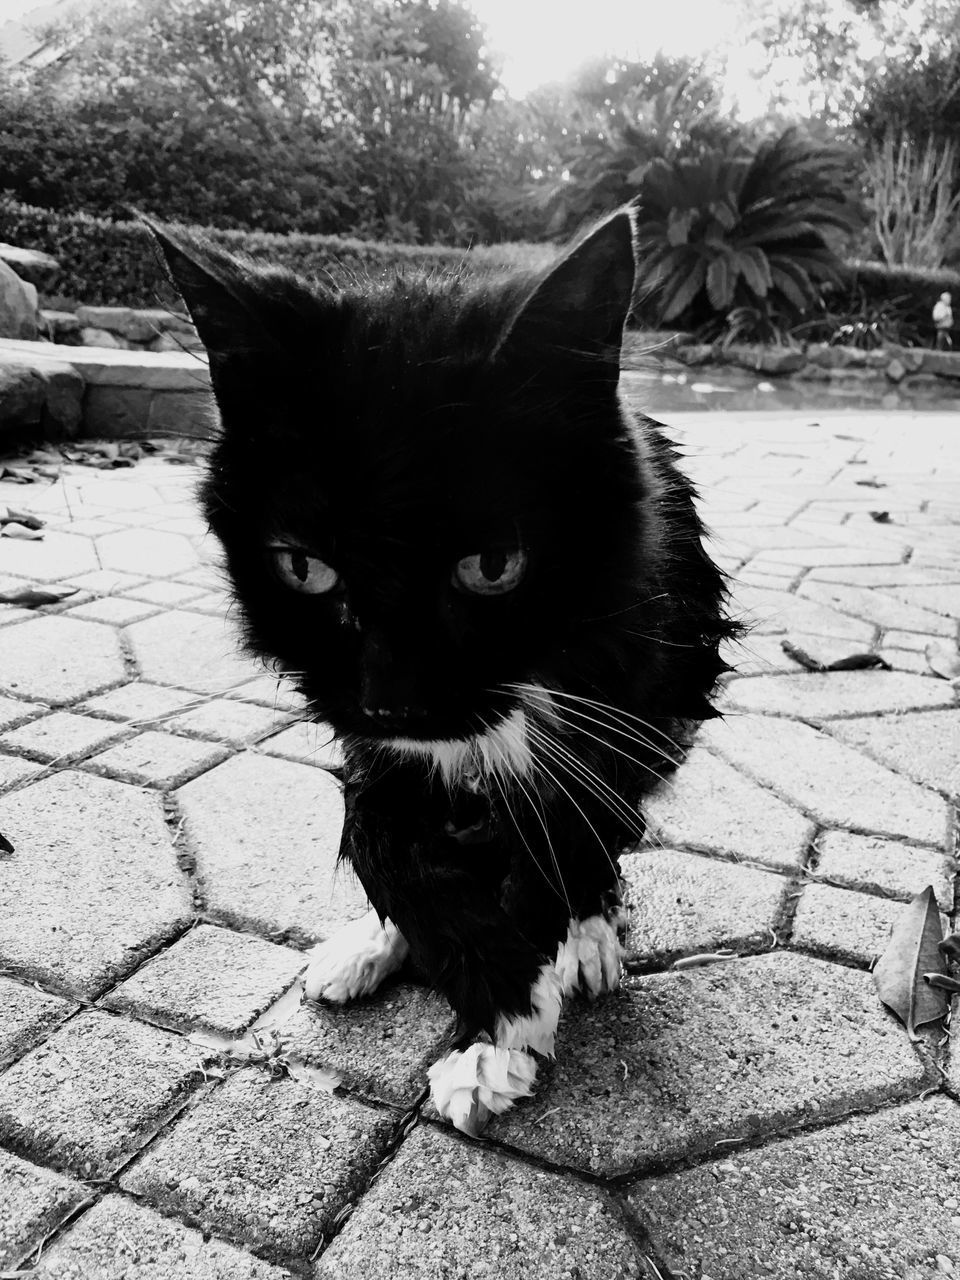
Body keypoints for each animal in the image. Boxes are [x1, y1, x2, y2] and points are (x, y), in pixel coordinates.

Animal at [150, 215, 737, 1136]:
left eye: (493, 567)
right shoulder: (373, 746)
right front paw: (479, 988)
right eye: (303, 568)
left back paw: (589, 934)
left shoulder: (613, 720)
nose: (394, 701)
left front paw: (499, 1032)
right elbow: (387, 846)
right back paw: (371, 942)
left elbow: (558, 851)